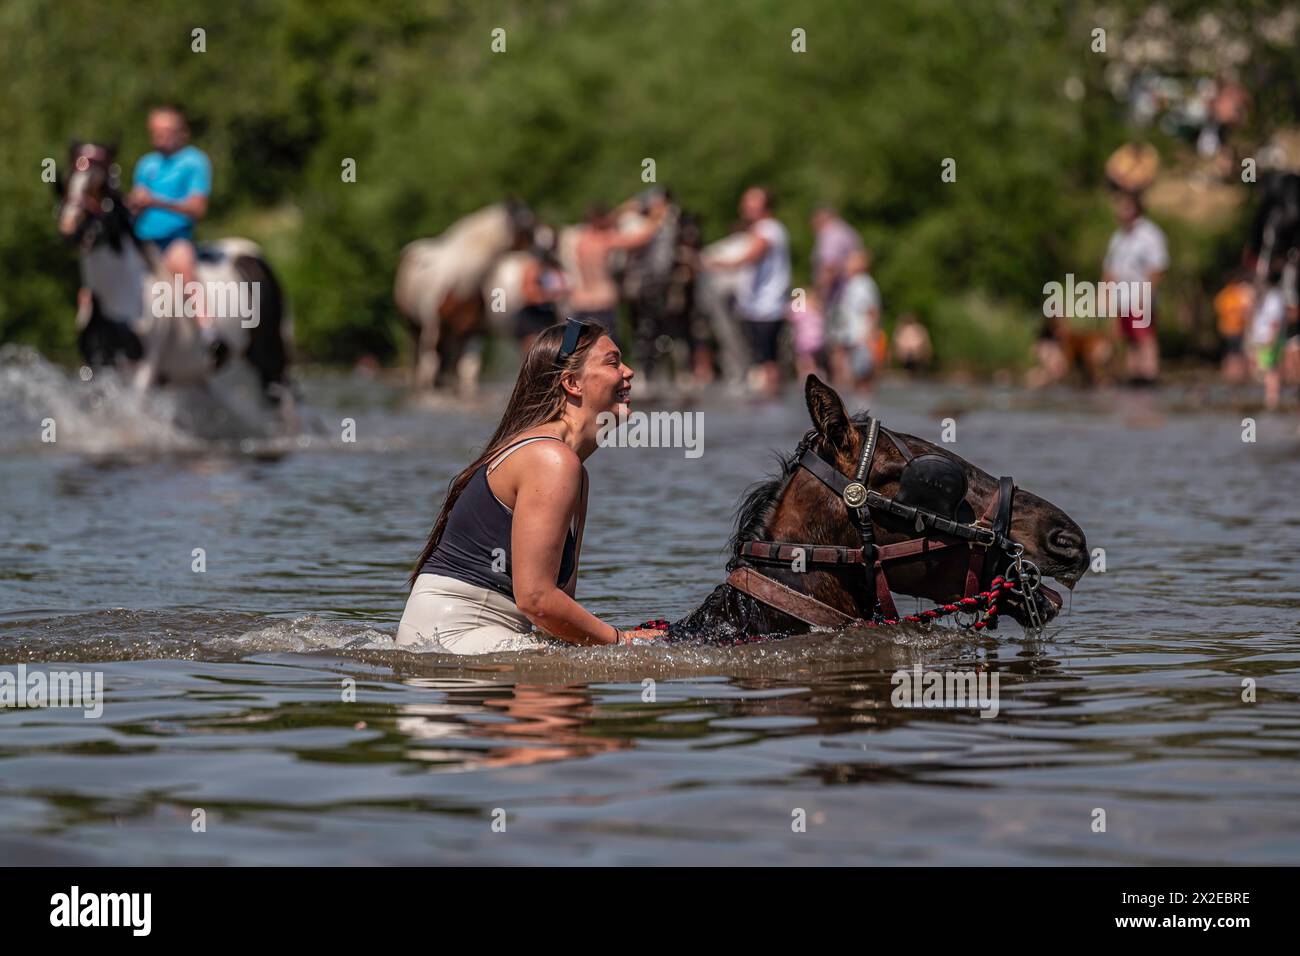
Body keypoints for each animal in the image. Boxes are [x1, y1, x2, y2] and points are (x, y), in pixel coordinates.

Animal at [395, 201, 538, 395]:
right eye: (527, 224)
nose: (548, 247)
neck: (461, 281)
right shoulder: (433, 326)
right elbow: (429, 366)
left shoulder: (471, 330)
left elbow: (468, 369)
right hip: (414, 326)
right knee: (422, 363)